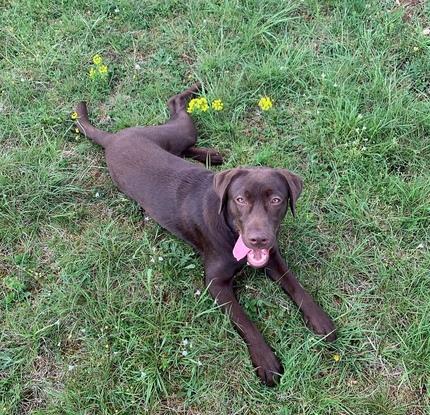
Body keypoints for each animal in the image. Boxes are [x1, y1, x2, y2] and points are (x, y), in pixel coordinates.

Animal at [74, 83, 336, 386]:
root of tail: (113, 138)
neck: (230, 232)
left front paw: (320, 320)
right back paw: (194, 94)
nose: (258, 239)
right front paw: (266, 360)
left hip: (176, 139)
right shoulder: (215, 283)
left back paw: (213, 153)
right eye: (240, 200)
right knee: (175, 105)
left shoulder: (273, 257)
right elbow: (245, 321)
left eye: (276, 200)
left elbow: (295, 285)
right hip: (175, 133)